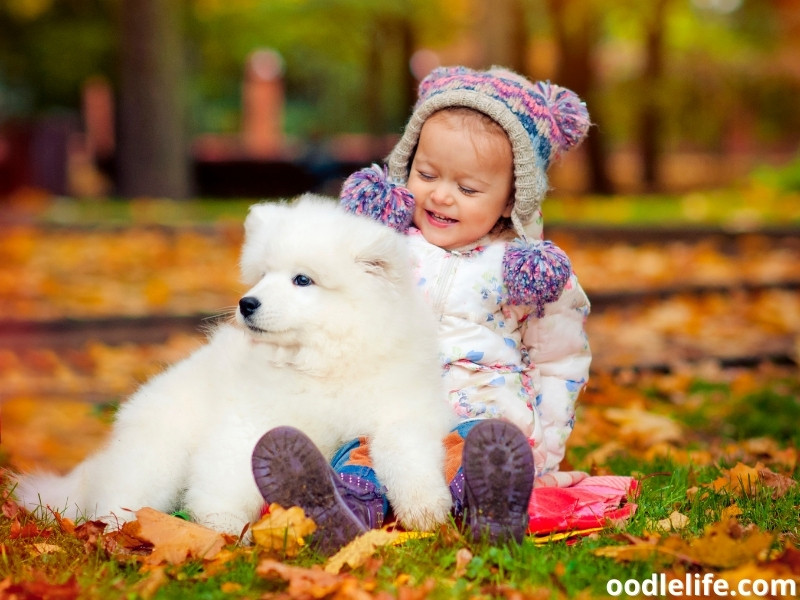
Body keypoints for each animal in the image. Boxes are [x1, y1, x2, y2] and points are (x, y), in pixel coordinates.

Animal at [12, 196, 454, 536]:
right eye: (262, 275)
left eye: (302, 280)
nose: (247, 303)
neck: (321, 364)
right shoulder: (249, 421)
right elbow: (229, 475)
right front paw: (224, 528)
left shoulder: (403, 410)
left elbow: (406, 454)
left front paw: (425, 509)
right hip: (158, 456)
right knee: (121, 499)